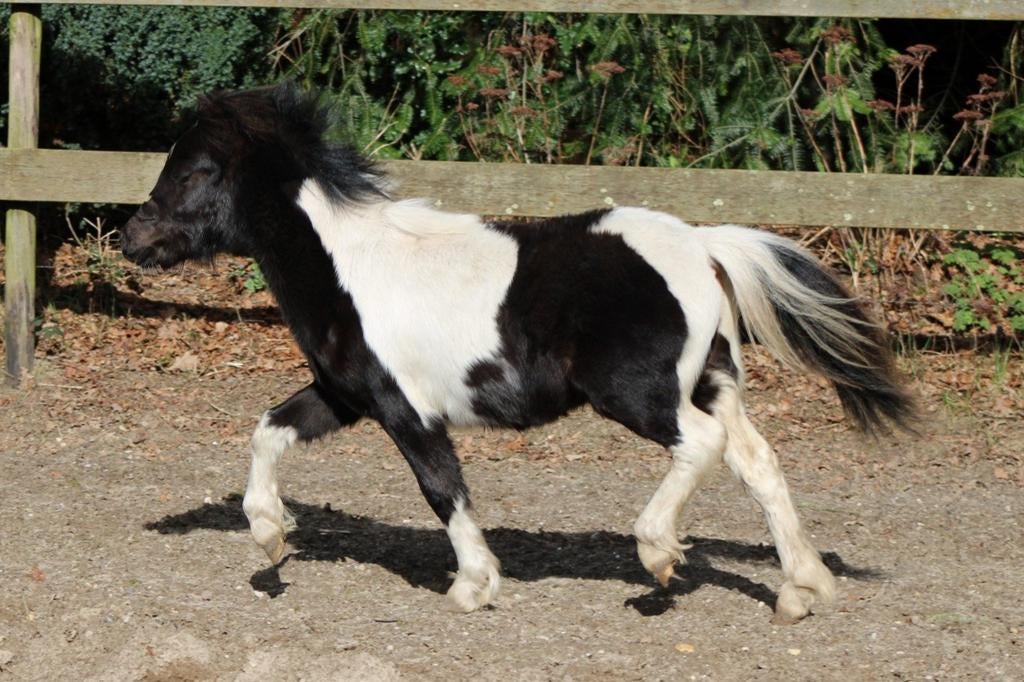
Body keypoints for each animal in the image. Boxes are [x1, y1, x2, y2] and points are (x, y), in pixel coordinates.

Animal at [121, 82, 913, 623]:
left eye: (194, 171)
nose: (131, 238)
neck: (350, 267)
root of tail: (701, 245)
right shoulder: (344, 397)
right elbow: (267, 430)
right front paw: (269, 538)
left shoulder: (405, 409)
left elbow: (442, 488)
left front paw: (473, 584)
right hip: (712, 379)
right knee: (758, 462)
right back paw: (801, 589)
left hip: (637, 392)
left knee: (703, 446)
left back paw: (658, 556)